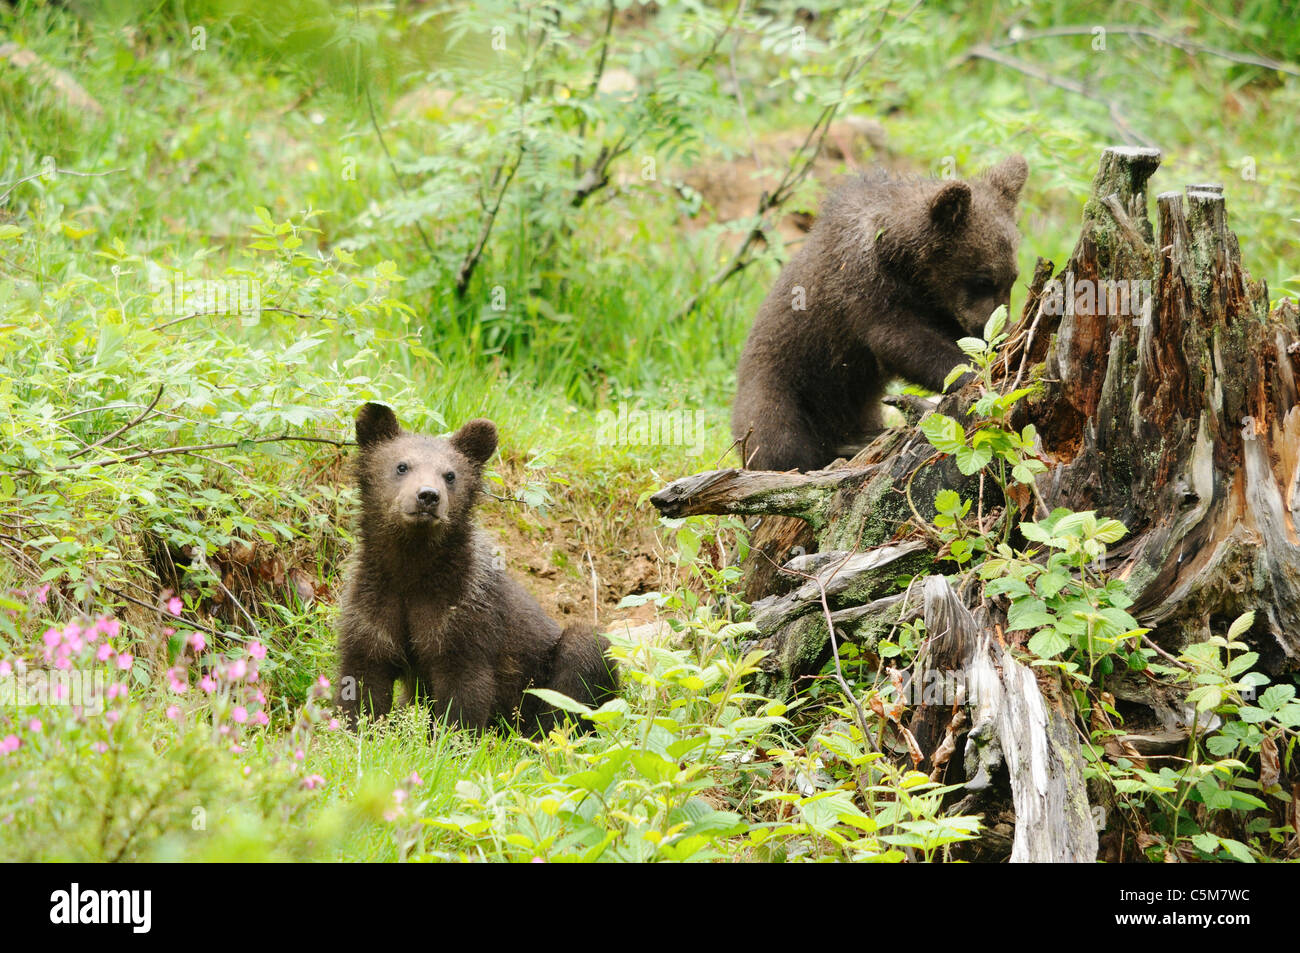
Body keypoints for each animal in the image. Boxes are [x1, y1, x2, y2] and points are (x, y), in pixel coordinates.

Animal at [334, 403, 618, 735]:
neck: (412, 568)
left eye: (450, 474)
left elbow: (464, 689)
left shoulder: (465, 617)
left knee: (581, 662)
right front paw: (355, 730)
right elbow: (363, 679)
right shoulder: (373, 606)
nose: (428, 496)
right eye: (402, 466)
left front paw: (450, 737)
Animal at [731, 155, 1029, 472]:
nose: (993, 334)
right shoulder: (863, 290)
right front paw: (971, 372)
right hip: (780, 389)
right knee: (778, 440)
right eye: (982, 280)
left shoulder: (936, 307)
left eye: (1011, 278)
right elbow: (901, 341)